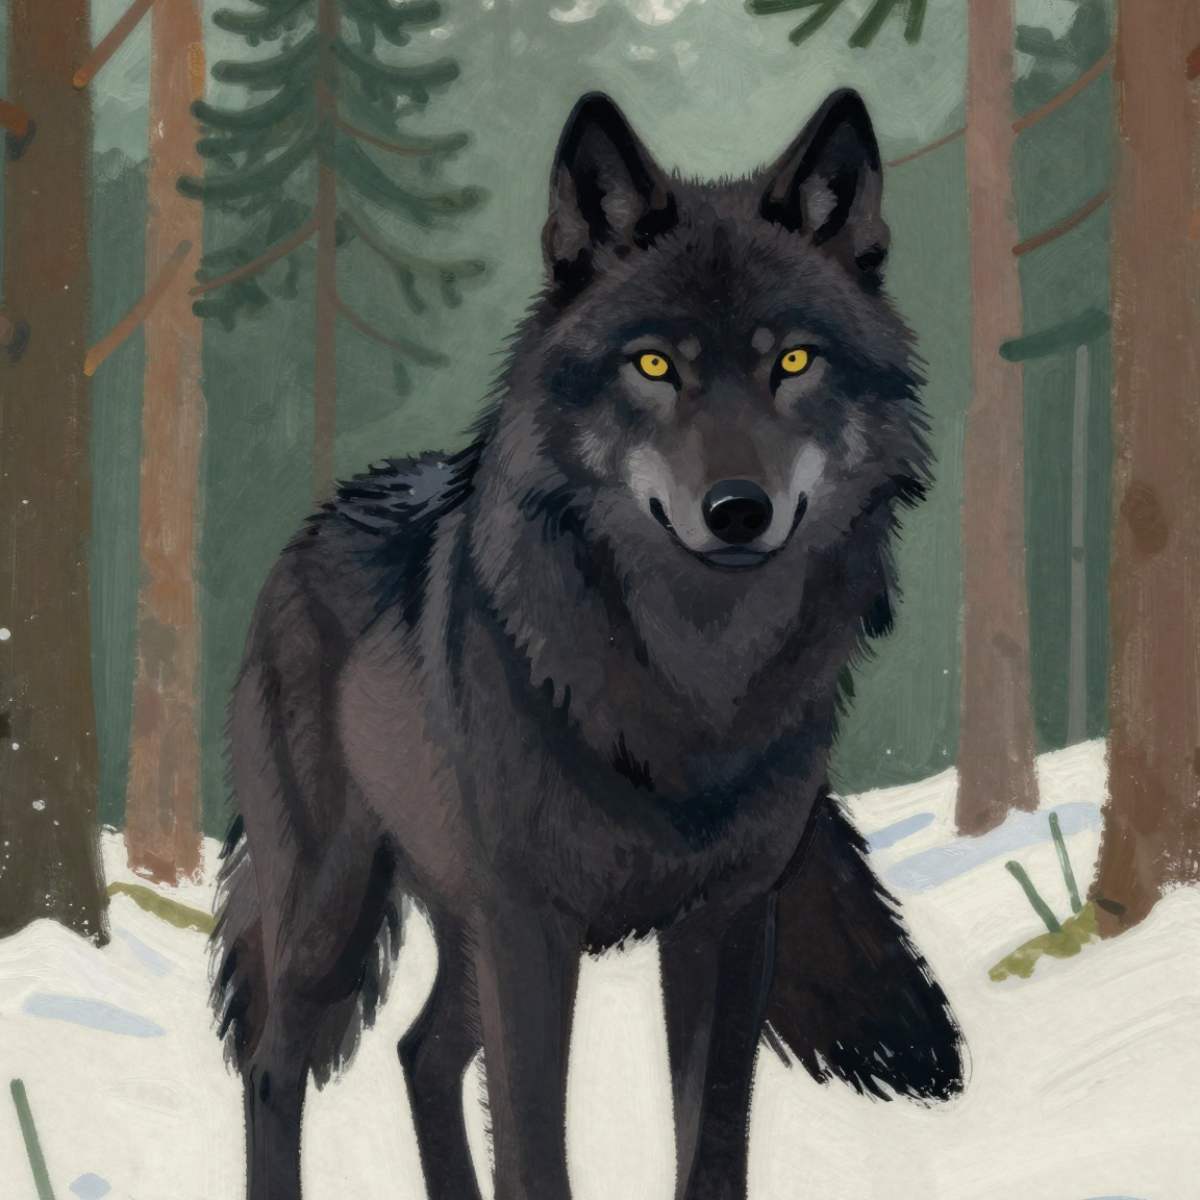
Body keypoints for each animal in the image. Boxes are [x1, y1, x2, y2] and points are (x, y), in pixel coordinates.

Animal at [212, 89, 963, 1200]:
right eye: (654, 364)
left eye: (792, 360)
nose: (738, 510)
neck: (694, 684)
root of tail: (318, 517)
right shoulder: (530, 928)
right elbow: (535, 1151)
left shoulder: (730, 919)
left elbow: (713, 1143)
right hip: (331, 911)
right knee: (274, 1070)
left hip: (454, 930)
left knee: (421, 1053)